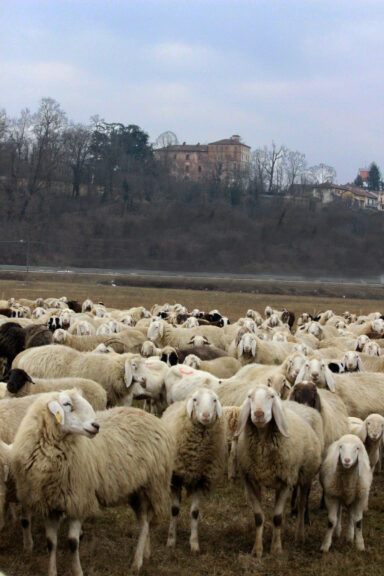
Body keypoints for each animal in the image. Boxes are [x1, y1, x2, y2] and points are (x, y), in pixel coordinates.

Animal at [11, 390, 174, 572]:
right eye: (67, 404)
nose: (96, 426)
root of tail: (152, 417)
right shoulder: (51, 505)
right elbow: (51, 543)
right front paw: (52, 571)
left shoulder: (79, 500)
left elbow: (73, 542)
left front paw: (77, 571)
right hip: (136, 491)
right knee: (144, 521)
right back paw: (146, 552)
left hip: (152, 485)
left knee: (145, 525)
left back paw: (137, 562)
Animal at [234, 384, 324, 556]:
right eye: (250, 397)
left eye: (271, 397)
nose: (259, 414)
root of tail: (300, 405)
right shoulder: (251, 480)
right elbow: (258, 517)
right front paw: (257, 549)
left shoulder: (285, 481)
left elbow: (277, 517)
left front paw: (276, 548)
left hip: (306, 475)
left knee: (302, 505)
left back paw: (300, 536)